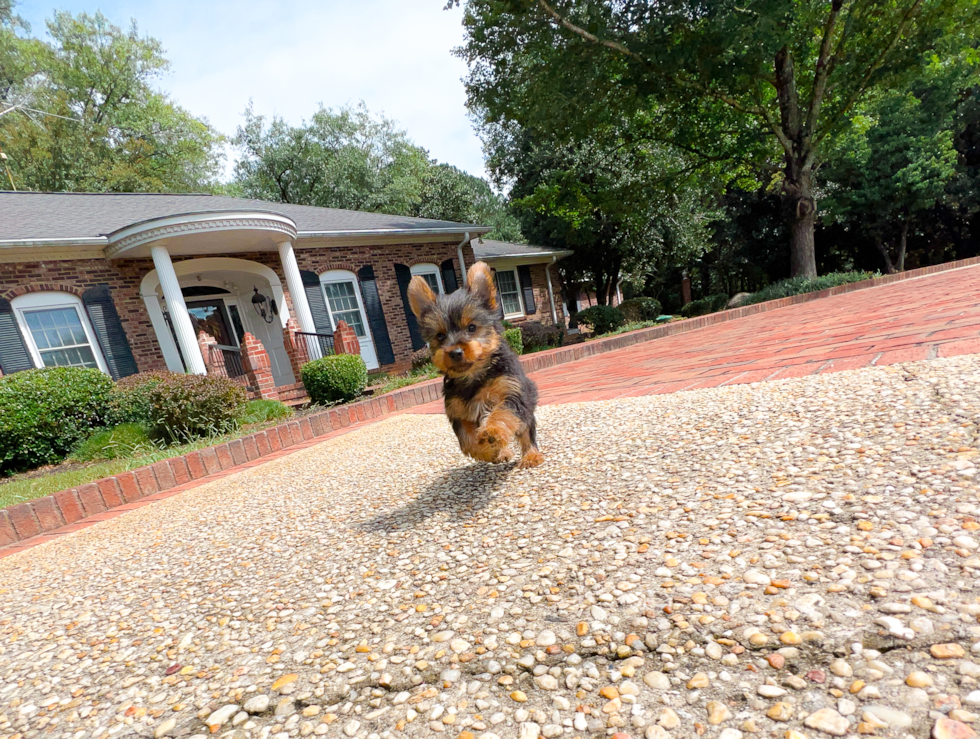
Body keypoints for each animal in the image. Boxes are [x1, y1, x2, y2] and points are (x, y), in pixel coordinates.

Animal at [406, 260, 544, 468]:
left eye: (471, 327)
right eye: (440, 336)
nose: (455, 352)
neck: (474, 376)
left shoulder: (511, 391)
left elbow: (502, 412)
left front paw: (492, 431)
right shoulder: (457, 410)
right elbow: (467, 440)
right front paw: (488, 451)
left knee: (526, 430)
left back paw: (531, 455)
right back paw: (501, 452)